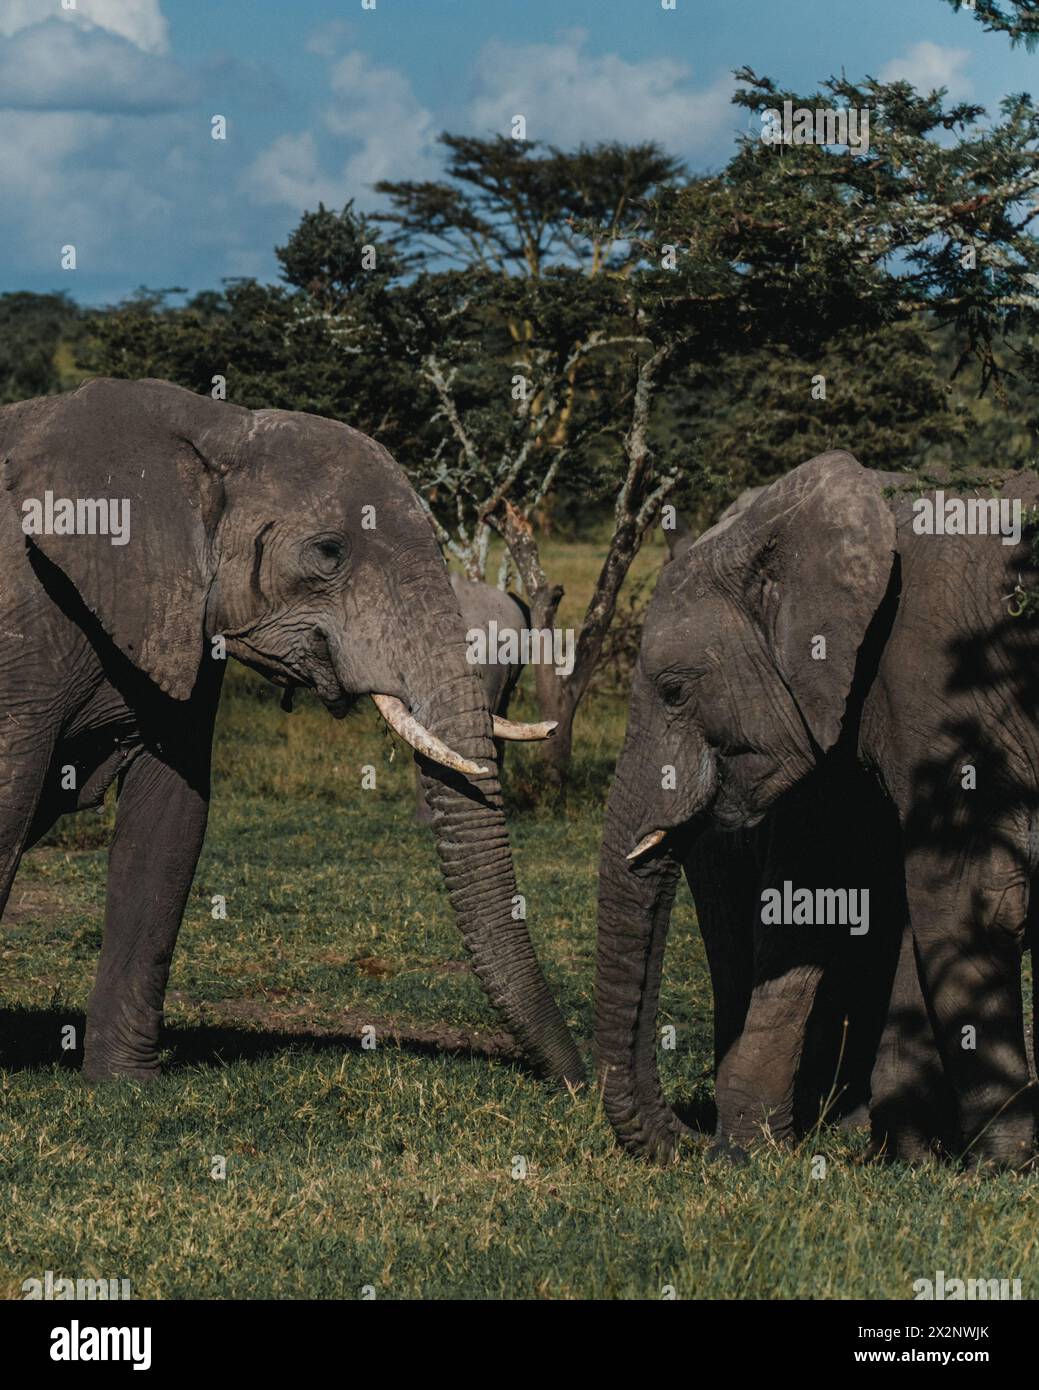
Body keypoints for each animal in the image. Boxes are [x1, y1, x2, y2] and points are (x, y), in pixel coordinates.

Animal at [0, 377, 584, 1088]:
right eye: (329, 553)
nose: (580, 1081)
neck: (219, 426)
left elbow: (169, 820)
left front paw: (126, 1086)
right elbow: (10, 801)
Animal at [597, 450, 1039, 1167]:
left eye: (673, 691)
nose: (687, 1138)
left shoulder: (943, 669)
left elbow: (963, 889)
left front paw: (997, 1168)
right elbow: (823, 884)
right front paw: (766, 1152)